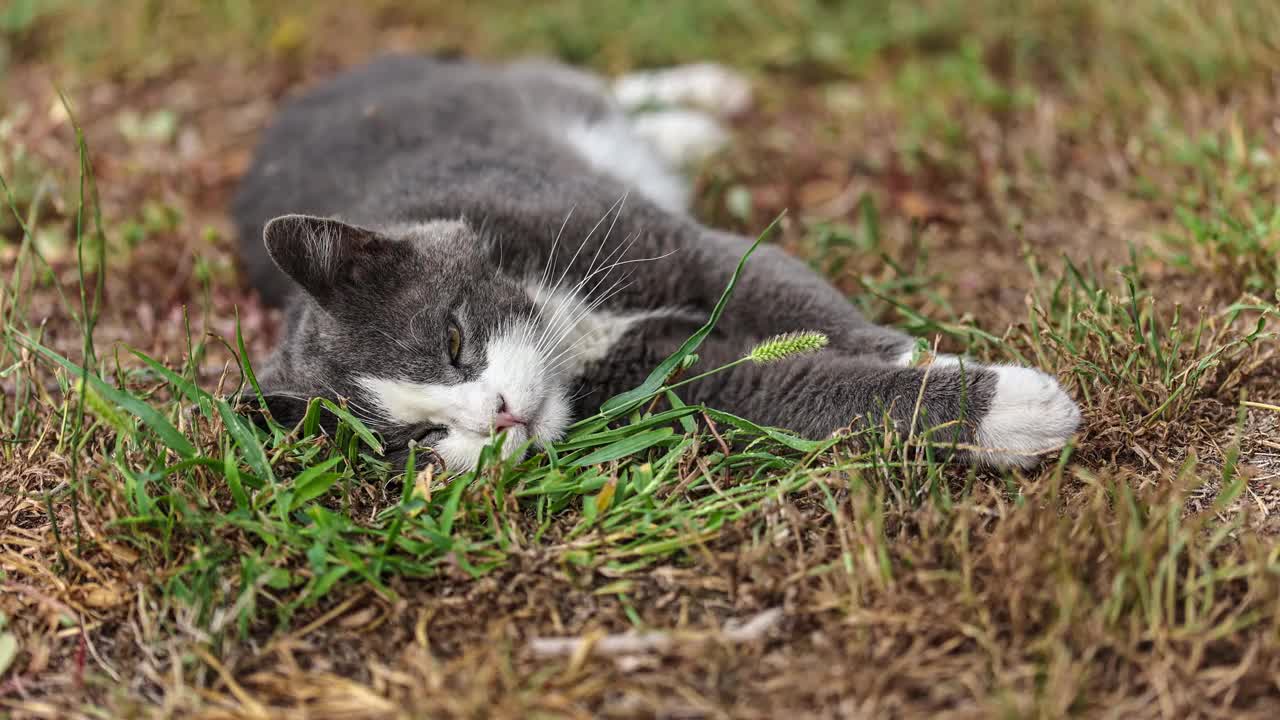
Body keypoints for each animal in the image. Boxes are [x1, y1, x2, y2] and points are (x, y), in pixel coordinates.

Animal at [230, 54, 1080, 471]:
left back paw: (699, 105)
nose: (497, 416)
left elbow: (785, 291)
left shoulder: (655, 240)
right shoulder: (663, 376)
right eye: (423, 444)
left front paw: (925, 356)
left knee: (575, 81)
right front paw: (1008, 411)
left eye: (452, 339)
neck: (565, 327)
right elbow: (779, 388)